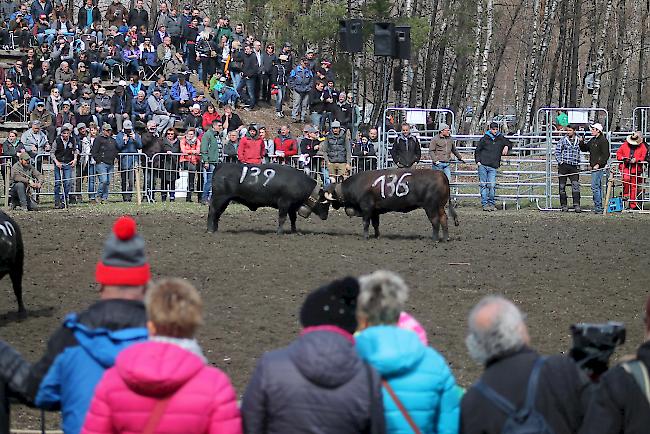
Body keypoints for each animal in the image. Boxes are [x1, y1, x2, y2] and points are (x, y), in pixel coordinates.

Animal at [322, 168, 456, 241]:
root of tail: (441, 174)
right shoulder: (375, 211)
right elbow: (375, 224)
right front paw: (377, 236)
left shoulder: (366, 208)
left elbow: (365, 223)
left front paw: (365, 236)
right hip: (440, 206)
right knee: (444, 219)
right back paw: (446, 238)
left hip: (431, 207)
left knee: (435, 221)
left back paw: (434, 239)